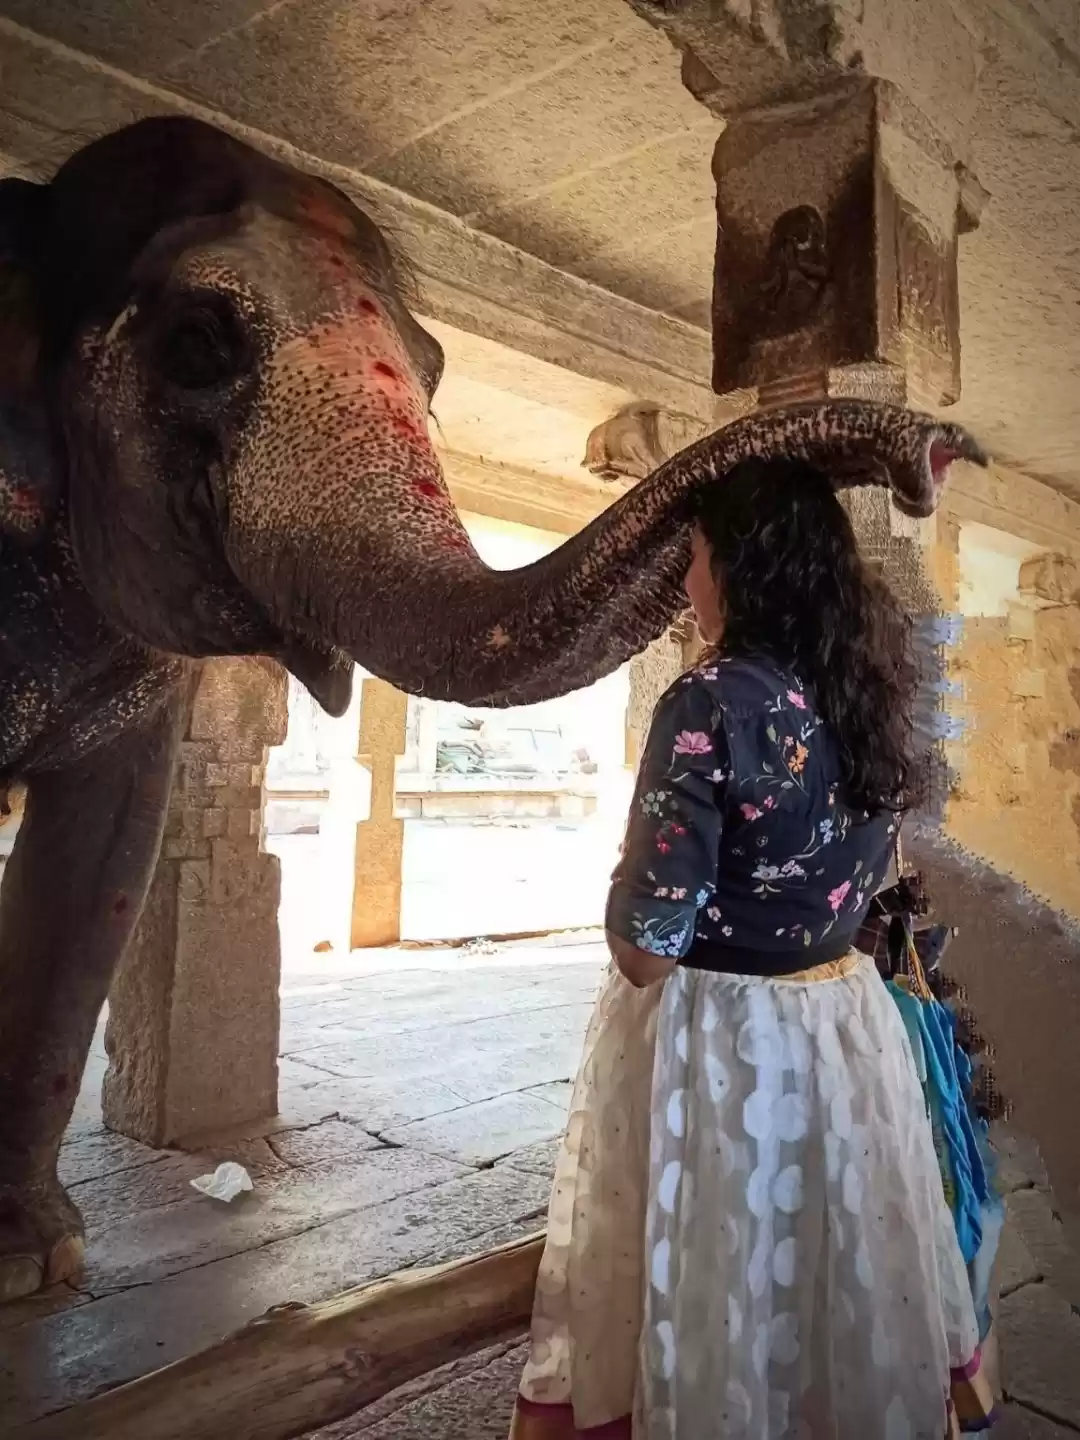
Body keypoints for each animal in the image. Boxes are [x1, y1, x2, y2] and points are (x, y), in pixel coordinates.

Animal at [0, 114, 987, 1301]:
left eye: (431, 370)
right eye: (197, 342)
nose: (940, 451)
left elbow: (105, 846)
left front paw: (32, 1261)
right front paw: (37, 1266)